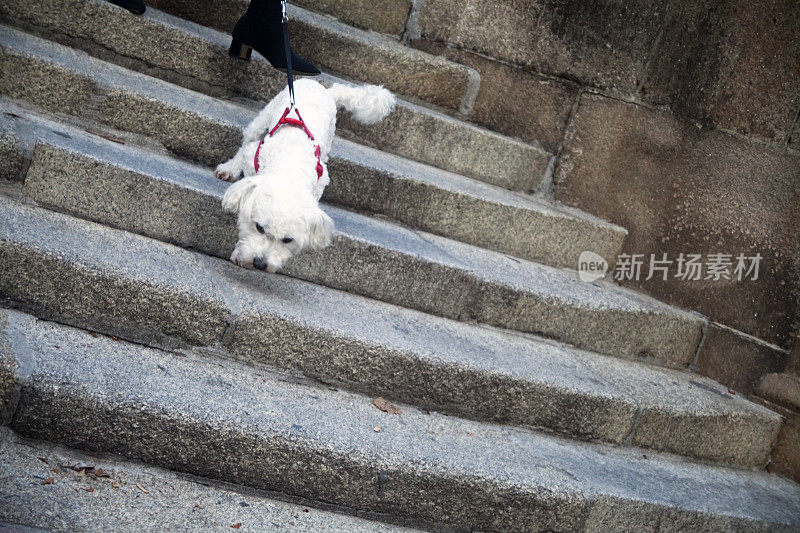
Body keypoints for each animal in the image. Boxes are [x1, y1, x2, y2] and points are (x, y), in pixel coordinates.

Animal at [217, 80, 396, 270]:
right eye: (259, 227)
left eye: (287, 240)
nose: (260, 263)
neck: (290, 169)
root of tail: (325, 89)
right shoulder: (253, 158)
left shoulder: (321, 180)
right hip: (266, 115)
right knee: (248, 139)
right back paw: (228, 168)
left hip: (328, 137)